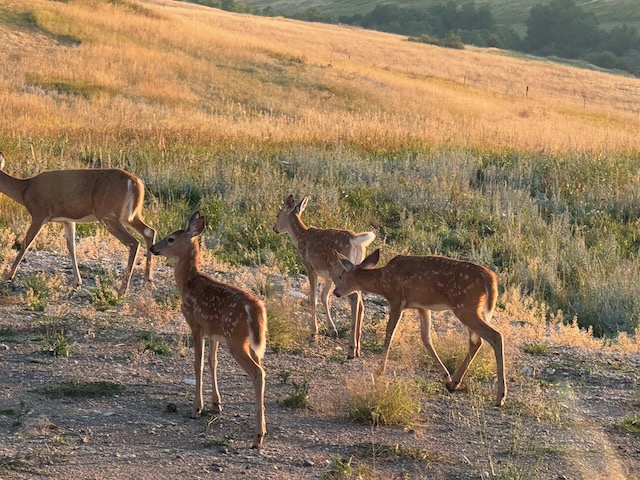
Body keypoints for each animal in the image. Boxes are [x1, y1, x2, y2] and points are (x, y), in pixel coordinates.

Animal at [0, 151, 155, 296]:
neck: (24, 190)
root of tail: (135, 182)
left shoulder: (40, 214)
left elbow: (26, 243)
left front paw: (8, 277)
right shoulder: (68, 220)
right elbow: (71, 247)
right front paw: (77, 284)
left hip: (108, 215)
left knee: (133, 242)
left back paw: (123, 290)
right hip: (129, 216)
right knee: (149, 231)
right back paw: (148, 281)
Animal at [150, 212, 267, 449]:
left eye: (171, 239)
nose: (152, 248)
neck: (188, 283)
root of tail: (256, 309)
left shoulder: (196, 324)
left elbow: (198, 363)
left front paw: (197, 408)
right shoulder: (214, 333)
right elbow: (213, 362)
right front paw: (216, 403)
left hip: (236, 339)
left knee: (258, 373)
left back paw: (257, 437)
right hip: (252, 342)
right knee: (261, 369)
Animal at [273, 194, 375, 358]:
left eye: (278, 215)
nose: (274, 228)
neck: (300, 237)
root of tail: (355, 240)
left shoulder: (310, 267)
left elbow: (313, 297)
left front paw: (313, 333)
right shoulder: (327, 275)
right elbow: (324, 297)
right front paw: (332, 330)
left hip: (338, 269)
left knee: (354, 298)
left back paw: (351, 349)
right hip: (352, 271)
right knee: (360, 301)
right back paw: (358, 348)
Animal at [334, 248, 507, 406]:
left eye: (341, 276)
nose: (336, 292)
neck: (382, 281)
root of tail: (489, 276)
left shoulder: (397, 299)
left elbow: (389, 333)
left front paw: (378, 372)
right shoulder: (422, 306)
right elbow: (426, 338)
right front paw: (445, 374)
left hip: (465, 307)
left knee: (495, 336)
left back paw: (500, 397)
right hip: (470, 308)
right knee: (476, 341)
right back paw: (453, 383)